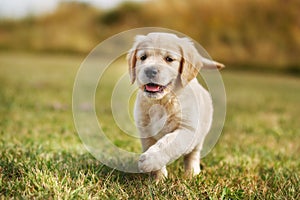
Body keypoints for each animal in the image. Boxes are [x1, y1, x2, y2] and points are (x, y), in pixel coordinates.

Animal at [127, 32, 225, 180]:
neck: (162, 101)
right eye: (143, 57)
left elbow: (168, 143)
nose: (150, 71)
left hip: (200, 135)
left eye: (169, 59)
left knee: (193, 155)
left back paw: (192, 173)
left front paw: (149, 160)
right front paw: (158, 178)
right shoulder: (146, 132)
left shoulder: (187, 129)